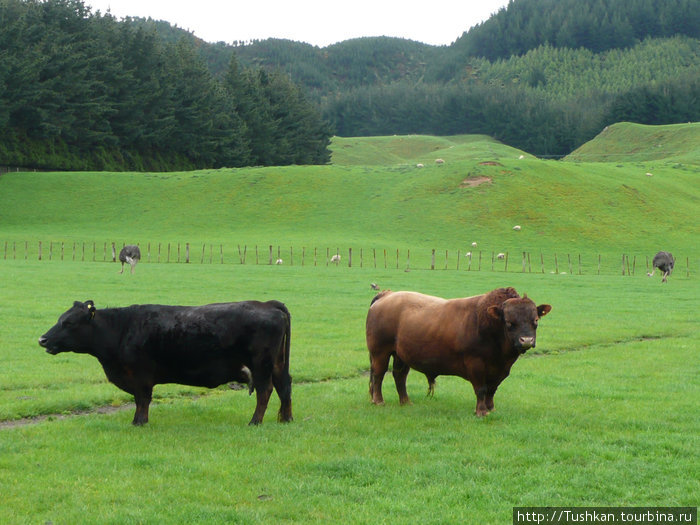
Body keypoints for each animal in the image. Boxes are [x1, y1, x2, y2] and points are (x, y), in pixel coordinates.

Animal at [39, 300, 292, 424]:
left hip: (261, 365)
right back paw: (286, 419)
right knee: (284, 386)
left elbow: (142, 400)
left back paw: (255, 422)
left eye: (69, 322)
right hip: (277, 364)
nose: (42, 339)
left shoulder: (141, 376)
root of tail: (267, 303)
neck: (122, 329)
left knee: (265, 391)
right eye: (60, 319)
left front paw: (139, 422)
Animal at [366, 288, 552, 416]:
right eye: (509, 322)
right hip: (380, 352)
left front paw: (491, 408)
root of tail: (387, 295)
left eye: (535, 320)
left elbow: (492, 390)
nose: (526, 340)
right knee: (379, 374)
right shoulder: (475, 363)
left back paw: (405, 402)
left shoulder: (501, 370)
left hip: (401, 355)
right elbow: (481, 389)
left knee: (399, 376)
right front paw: (481, 411)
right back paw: (379, 401)